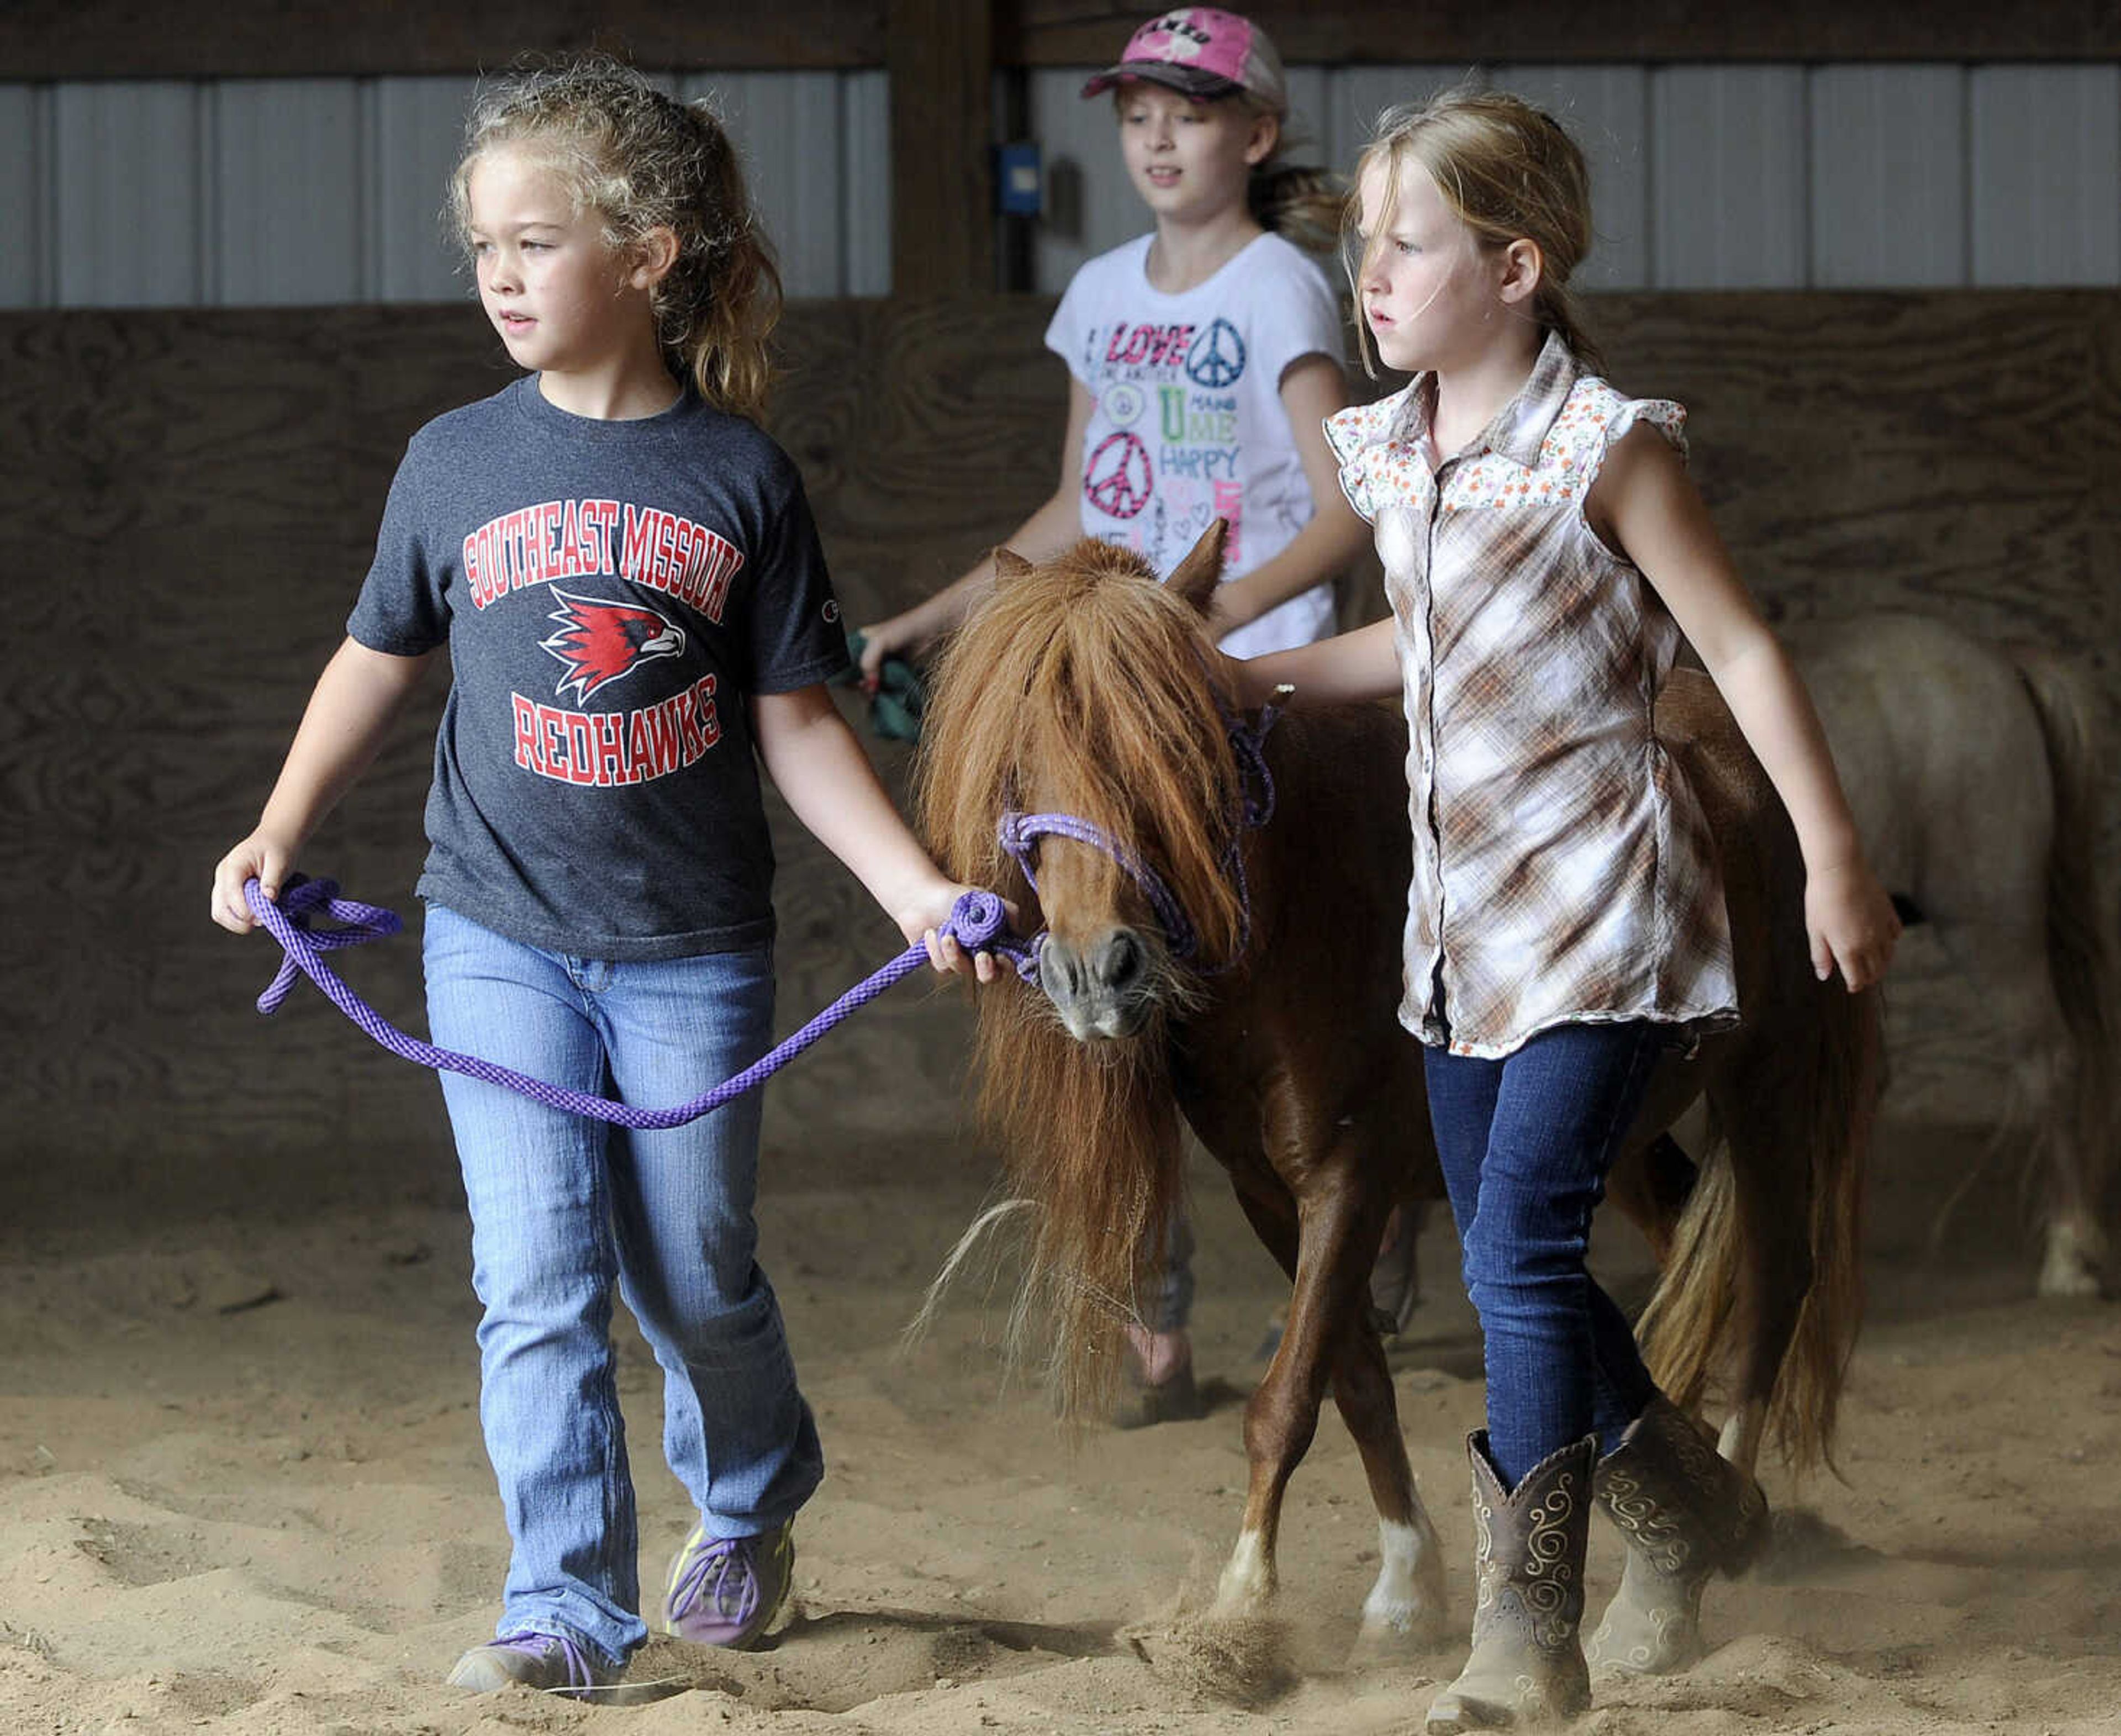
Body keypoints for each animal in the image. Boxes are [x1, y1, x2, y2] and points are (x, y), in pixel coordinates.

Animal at [920, 528, 1883, 1638]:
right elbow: (1355, 1381)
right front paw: (1405, 1581)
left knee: (1773, 1277)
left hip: (1768, 1079)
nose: (1094, 974)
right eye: (1019, 765)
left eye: (1172, 750)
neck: (1300, 909)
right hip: (1624, 1132)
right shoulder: (1271, 1194)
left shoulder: (1350, 1177)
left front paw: (1243, 1607)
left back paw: (1726, 1510)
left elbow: (1286, 1400)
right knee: (1687, 1245)